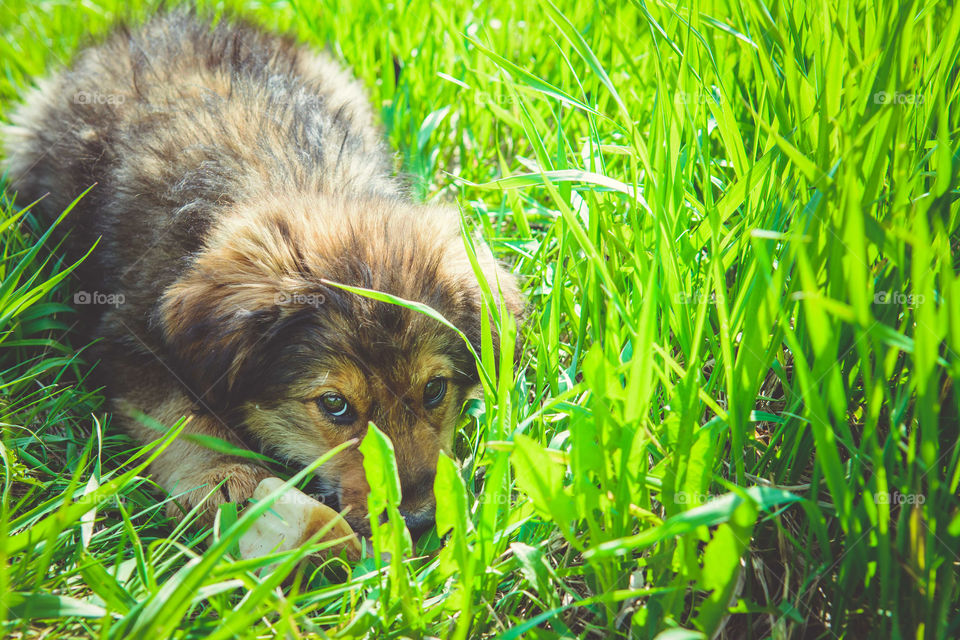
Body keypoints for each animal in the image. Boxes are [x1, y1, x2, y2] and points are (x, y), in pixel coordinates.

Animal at [1, 11, 524, 540]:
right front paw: (224, 475)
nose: (419, 524)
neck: (298, 179)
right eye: (334, 405)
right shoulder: (128, 338)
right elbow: (179, 414)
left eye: (435, 389)